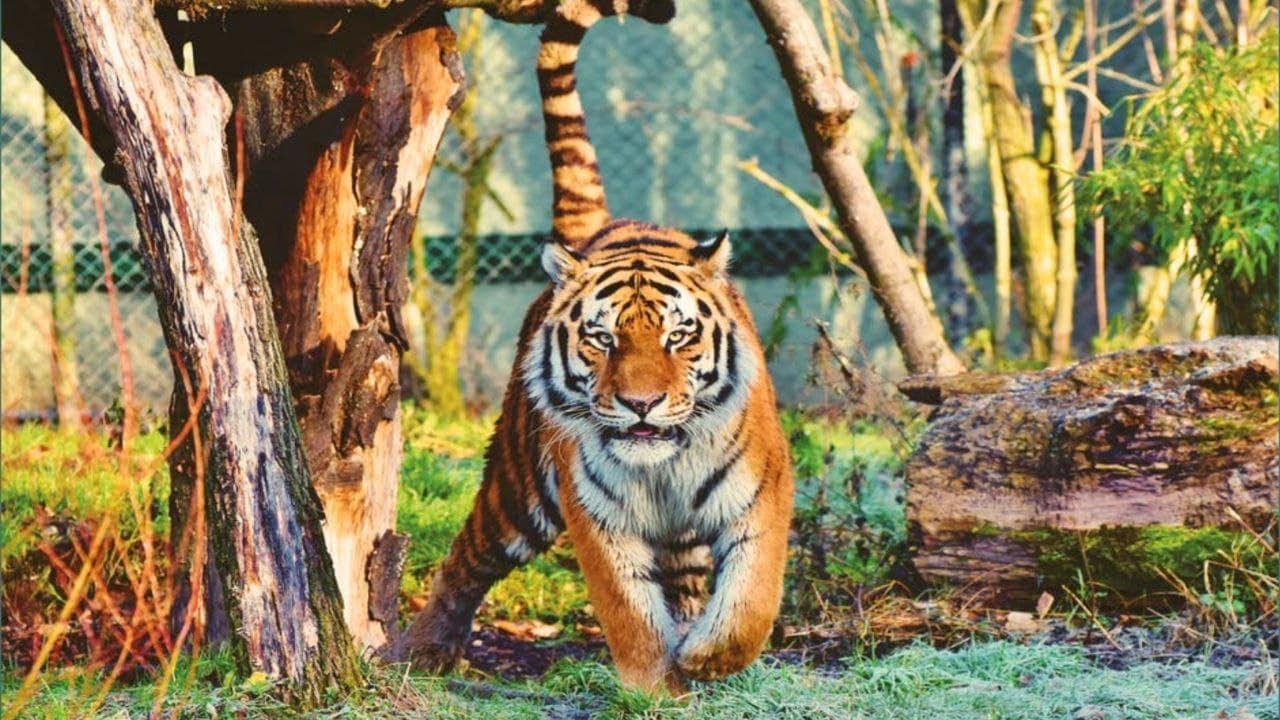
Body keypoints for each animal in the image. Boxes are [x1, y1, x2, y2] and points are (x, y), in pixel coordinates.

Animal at [397, 0, 794, 692]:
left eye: (678, 336)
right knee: (466, 559)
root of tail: (604, 225)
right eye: (602, 338)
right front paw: (654, 685)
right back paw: (421, 649)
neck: (663, 468)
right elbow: (628, 613)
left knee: (687, 582)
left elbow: (751, 601)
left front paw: (705, 658)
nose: (640, 404)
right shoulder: (598, 517)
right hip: (517, 487)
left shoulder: (762, 494)